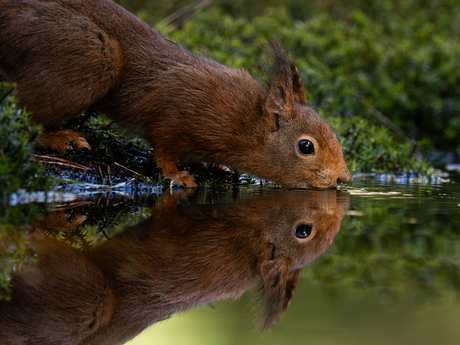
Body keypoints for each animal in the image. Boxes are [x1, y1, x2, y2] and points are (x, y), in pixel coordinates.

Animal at [0, 0, 350, 188]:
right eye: (306, 147)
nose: (344, 178)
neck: (247, 123)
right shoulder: (174, 112)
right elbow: (164, 149)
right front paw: (178, 175)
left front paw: (215, 166)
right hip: (92, 56)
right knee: (19, 113)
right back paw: (59, 138)